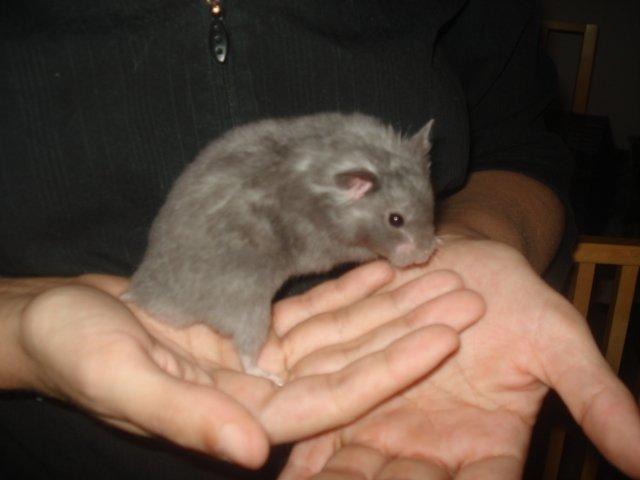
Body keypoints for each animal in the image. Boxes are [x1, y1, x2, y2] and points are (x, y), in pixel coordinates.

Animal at [127, 112, 437, 382]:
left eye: (430, 203)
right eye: (395, 219)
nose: (424, 257)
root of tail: (148, 294)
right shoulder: (325, 246)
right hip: (248, 305)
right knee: (246, 353)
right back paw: (270, 378)